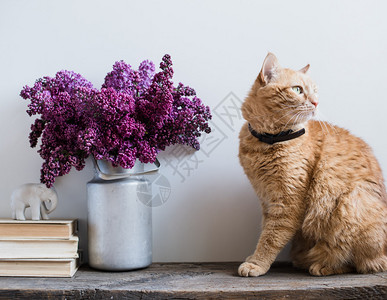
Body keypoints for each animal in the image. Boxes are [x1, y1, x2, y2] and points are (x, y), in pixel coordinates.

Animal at [239, 52, 387, 276]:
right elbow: (265, 229)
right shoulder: (266, 199)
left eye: (315, 91)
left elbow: (271, 237)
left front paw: (257, 263)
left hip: (351, 204)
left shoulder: (288, 202)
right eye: (297, 89)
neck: (270, 140)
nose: (316, 102)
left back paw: (323, 265)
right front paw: (253, 257)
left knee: (364, 262)